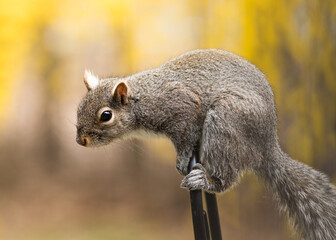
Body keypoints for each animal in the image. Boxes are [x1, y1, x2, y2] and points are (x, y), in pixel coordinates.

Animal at [76, 49, 336, 240]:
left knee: (226, 176)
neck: (139, 101)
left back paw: (207, 180)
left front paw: (182, 158)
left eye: (106, 115)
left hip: (225, 122)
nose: (81, 140)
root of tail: (267, 146)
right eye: (79, 108)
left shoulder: (179, 106)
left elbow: (184, 134)